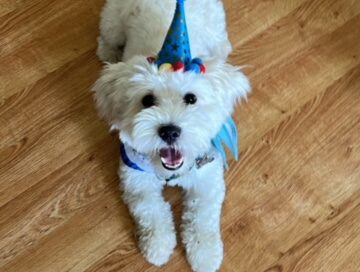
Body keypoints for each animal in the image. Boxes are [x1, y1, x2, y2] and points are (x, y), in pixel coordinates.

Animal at [93, 1, 250, 270]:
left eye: (191, 98)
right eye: (147, 100)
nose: (169, 131)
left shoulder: (207, 177)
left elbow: (203, 217)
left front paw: (205, 254)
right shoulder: (137, 177)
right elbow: (151, 211)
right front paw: (158, 246)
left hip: (217, 27)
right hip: (114, 20)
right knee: (108, 36)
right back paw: (108, 52)